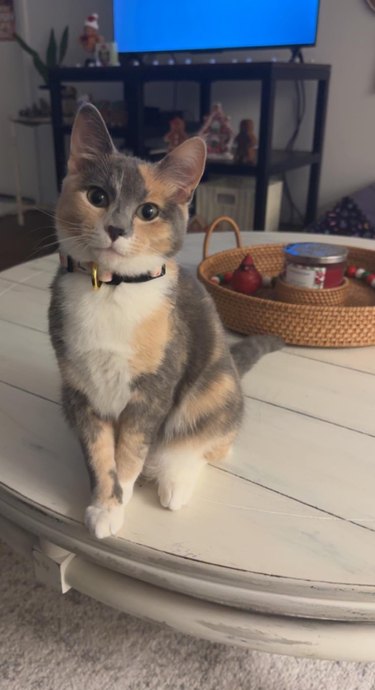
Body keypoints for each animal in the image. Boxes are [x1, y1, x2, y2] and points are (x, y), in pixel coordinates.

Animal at [48, 106, 282, 536]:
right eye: (97, 196)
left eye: (149, 211)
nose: (116, 228)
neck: (111, 289)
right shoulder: (80, 390)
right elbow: (99, 452)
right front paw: (104, 504)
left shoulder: (155, 387)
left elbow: (131, 449)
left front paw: (120, 496)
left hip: (213, 387)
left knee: (207, 441)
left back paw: (176, 479)